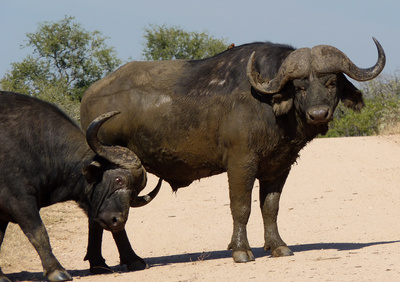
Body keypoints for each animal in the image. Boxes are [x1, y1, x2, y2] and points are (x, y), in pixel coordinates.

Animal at [0, 91, 159, 280]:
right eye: (118, 180)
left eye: (135, 192)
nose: (117, 220)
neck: (39, 146)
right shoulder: (19, 200)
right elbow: (39, 233)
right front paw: (56, 270)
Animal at [79, 38, 384, 264]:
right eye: (300, 86)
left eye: (332, 82)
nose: (319, 114)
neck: (268, 106)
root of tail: (89, 95)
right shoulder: (241, 163)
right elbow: (241, 207)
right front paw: (241, 250)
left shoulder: (279, 167)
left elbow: (270, 207)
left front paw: (278, 245)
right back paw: (125, 260)